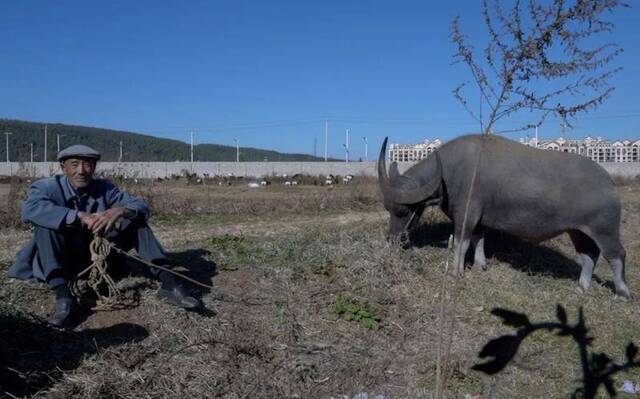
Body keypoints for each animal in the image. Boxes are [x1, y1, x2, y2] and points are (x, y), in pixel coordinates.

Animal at [378, 135, 632, 300]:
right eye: (387, 209)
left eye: (403, 211)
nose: (392, 239)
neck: (449, 171)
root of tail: (608, 182)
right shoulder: (479, 220)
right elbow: (479, 240)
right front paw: (479, 265)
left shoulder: (466, 215)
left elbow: (461, 243)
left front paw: (454, 273)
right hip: (578, 231)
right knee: (589, 255)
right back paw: (581, 288)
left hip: (604, 230)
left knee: (616, 254)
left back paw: (622, 293)